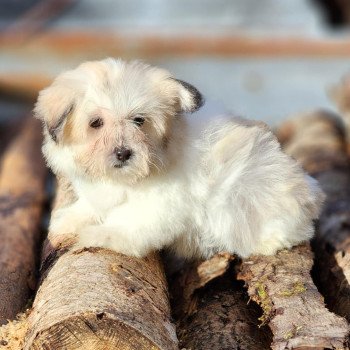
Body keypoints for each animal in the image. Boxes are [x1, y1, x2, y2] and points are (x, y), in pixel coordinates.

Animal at [34, 58, 324, 258]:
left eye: (139, 121)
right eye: (95, 123)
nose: (124, 153)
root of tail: (310, 196)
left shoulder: (160, 202)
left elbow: (130, 221)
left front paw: (103, 235)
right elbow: (91, 205)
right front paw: (69, 220)